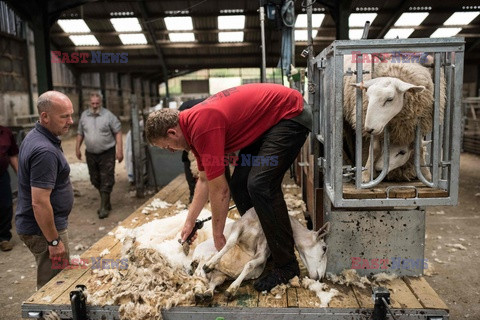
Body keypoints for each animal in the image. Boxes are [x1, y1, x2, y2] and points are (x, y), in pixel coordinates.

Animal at [191, 206, 330, 302]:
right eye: (324, 248)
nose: (321, 277)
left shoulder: (263, 250)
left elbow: (250, 264)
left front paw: (231, 290)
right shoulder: (239, 226)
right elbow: (230, 242)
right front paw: (210, 264)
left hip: (220, 276)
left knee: (213, 282)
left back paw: (205, 294)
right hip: (203, 255)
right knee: (198, 273)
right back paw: (202, 278)